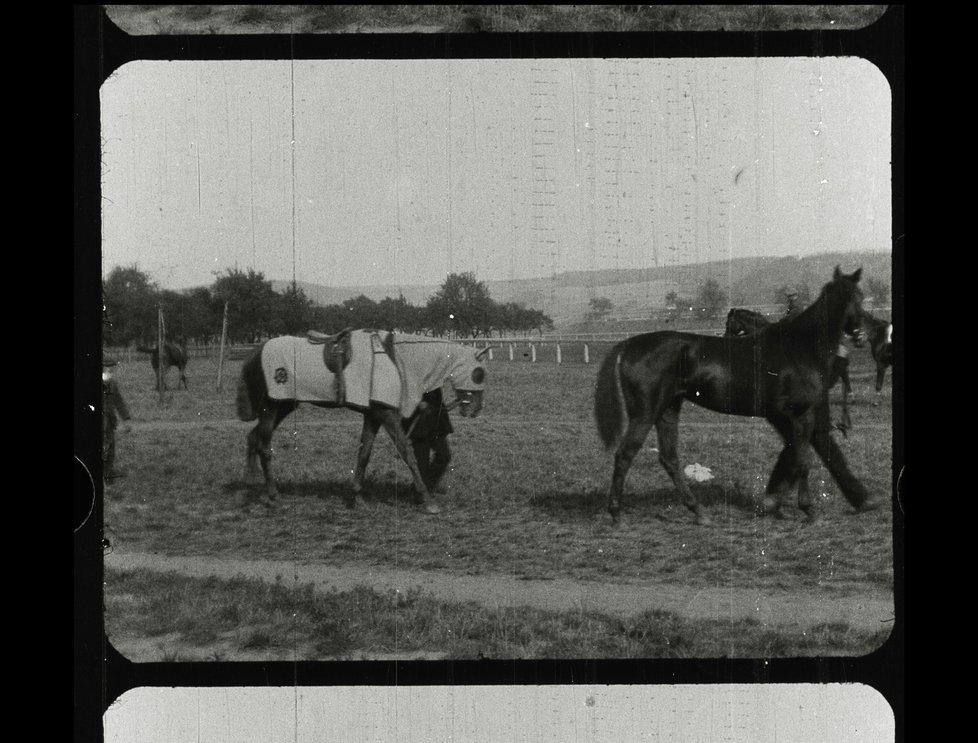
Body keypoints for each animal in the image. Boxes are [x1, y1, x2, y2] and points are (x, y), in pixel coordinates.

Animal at [236, 334, 488, 516]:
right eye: (479, 373)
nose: (475, 409)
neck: (394, 359)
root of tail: (256, 351)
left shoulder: (373, 415)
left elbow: (364, 453)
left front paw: (356, 496)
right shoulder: (387, 414)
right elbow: (406, 452)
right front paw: (428, 500)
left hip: (285, 406)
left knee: (253, 437)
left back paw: (251, 484)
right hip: (272, 408)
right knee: (264, 447)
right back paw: (273, 495)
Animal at [596, 268, 876, 524]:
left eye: (860, 296)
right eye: (849, 298)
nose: (862, 335)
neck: (800, 348)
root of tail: (628, 345)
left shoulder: (789, 417)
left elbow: (797, 458)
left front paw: (777, 504)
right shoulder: (800, 414)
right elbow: (802, 460)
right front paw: (808, 509)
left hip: (668, 409)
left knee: (669, 459)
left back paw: (698, 512)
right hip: (644, 413)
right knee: (625, 455)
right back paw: (616, 514)